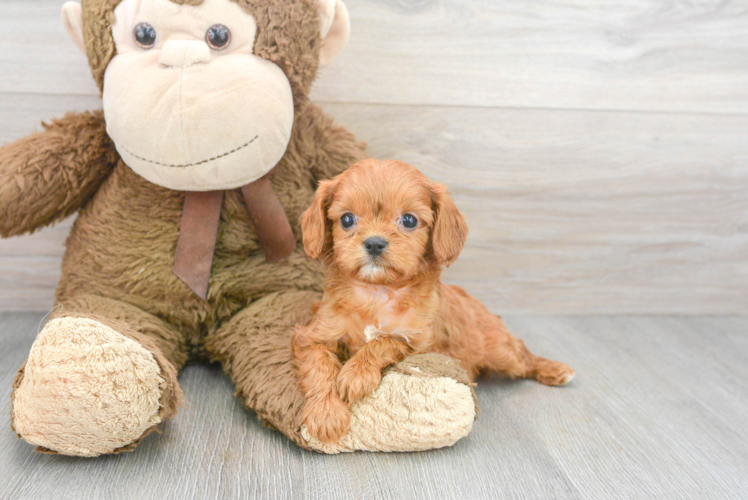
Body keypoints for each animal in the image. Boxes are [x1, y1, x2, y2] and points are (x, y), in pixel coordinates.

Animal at [292, 159, 572, 442]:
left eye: (409, 220)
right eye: (347, 219)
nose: (374, 243)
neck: (377, 292)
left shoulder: (420, 342)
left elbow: (384, 341)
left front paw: (355, 374)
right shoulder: (314, 335)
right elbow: (320, 366)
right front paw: (326, 414)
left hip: (501, 352)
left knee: (523, 354)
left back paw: (554, 369)